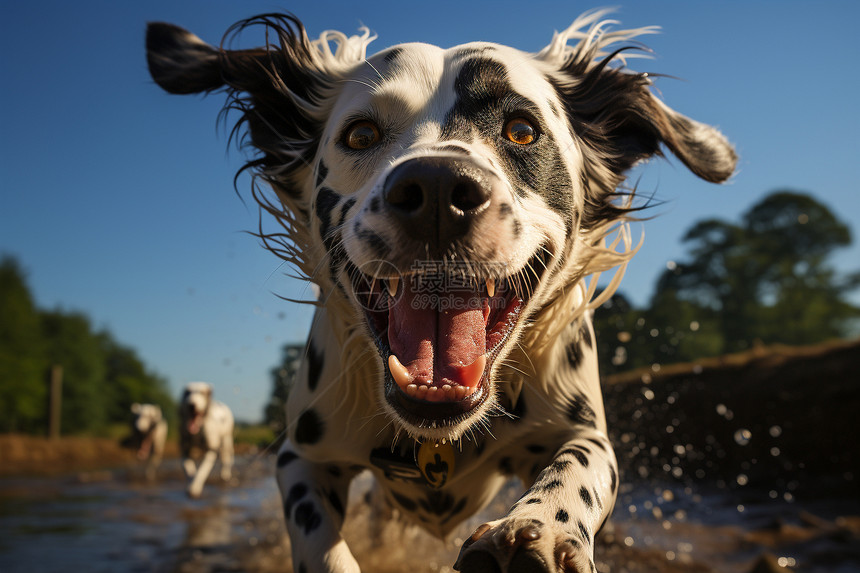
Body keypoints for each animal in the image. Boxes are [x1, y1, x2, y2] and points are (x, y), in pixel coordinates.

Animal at [146, 10, 732, 572]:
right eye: (360, 135)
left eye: (522, 129)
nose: (437, 189)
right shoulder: (303, 457)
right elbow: (321, 545)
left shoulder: (583, 431)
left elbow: (577, 467)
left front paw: (538, 530)